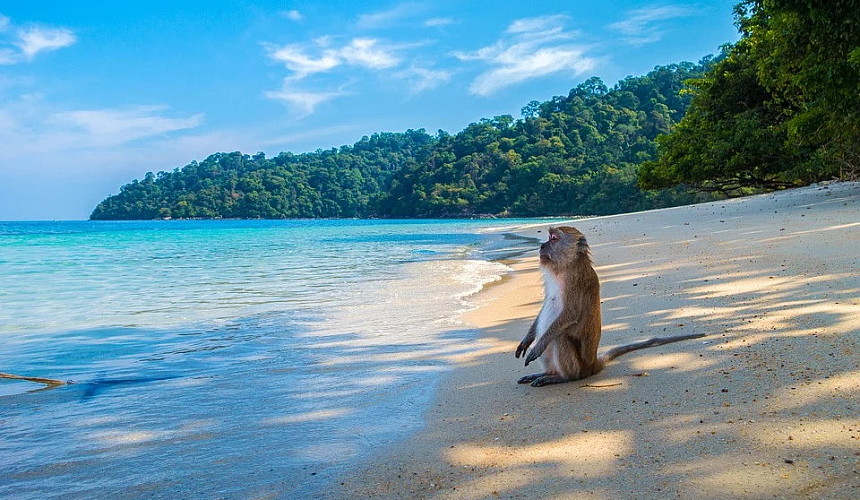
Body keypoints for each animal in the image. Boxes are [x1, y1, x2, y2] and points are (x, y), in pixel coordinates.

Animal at [512, 227, 704, 386]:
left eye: (553, 239)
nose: (542, 246)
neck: (566, 266)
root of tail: (593, 365)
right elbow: (545, 306)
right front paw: (527, 340)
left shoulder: (575, 281)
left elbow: (570, 314)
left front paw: (538, 346)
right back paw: (546, 373)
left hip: (579, 367)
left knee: (559, 337)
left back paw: (562, 377)